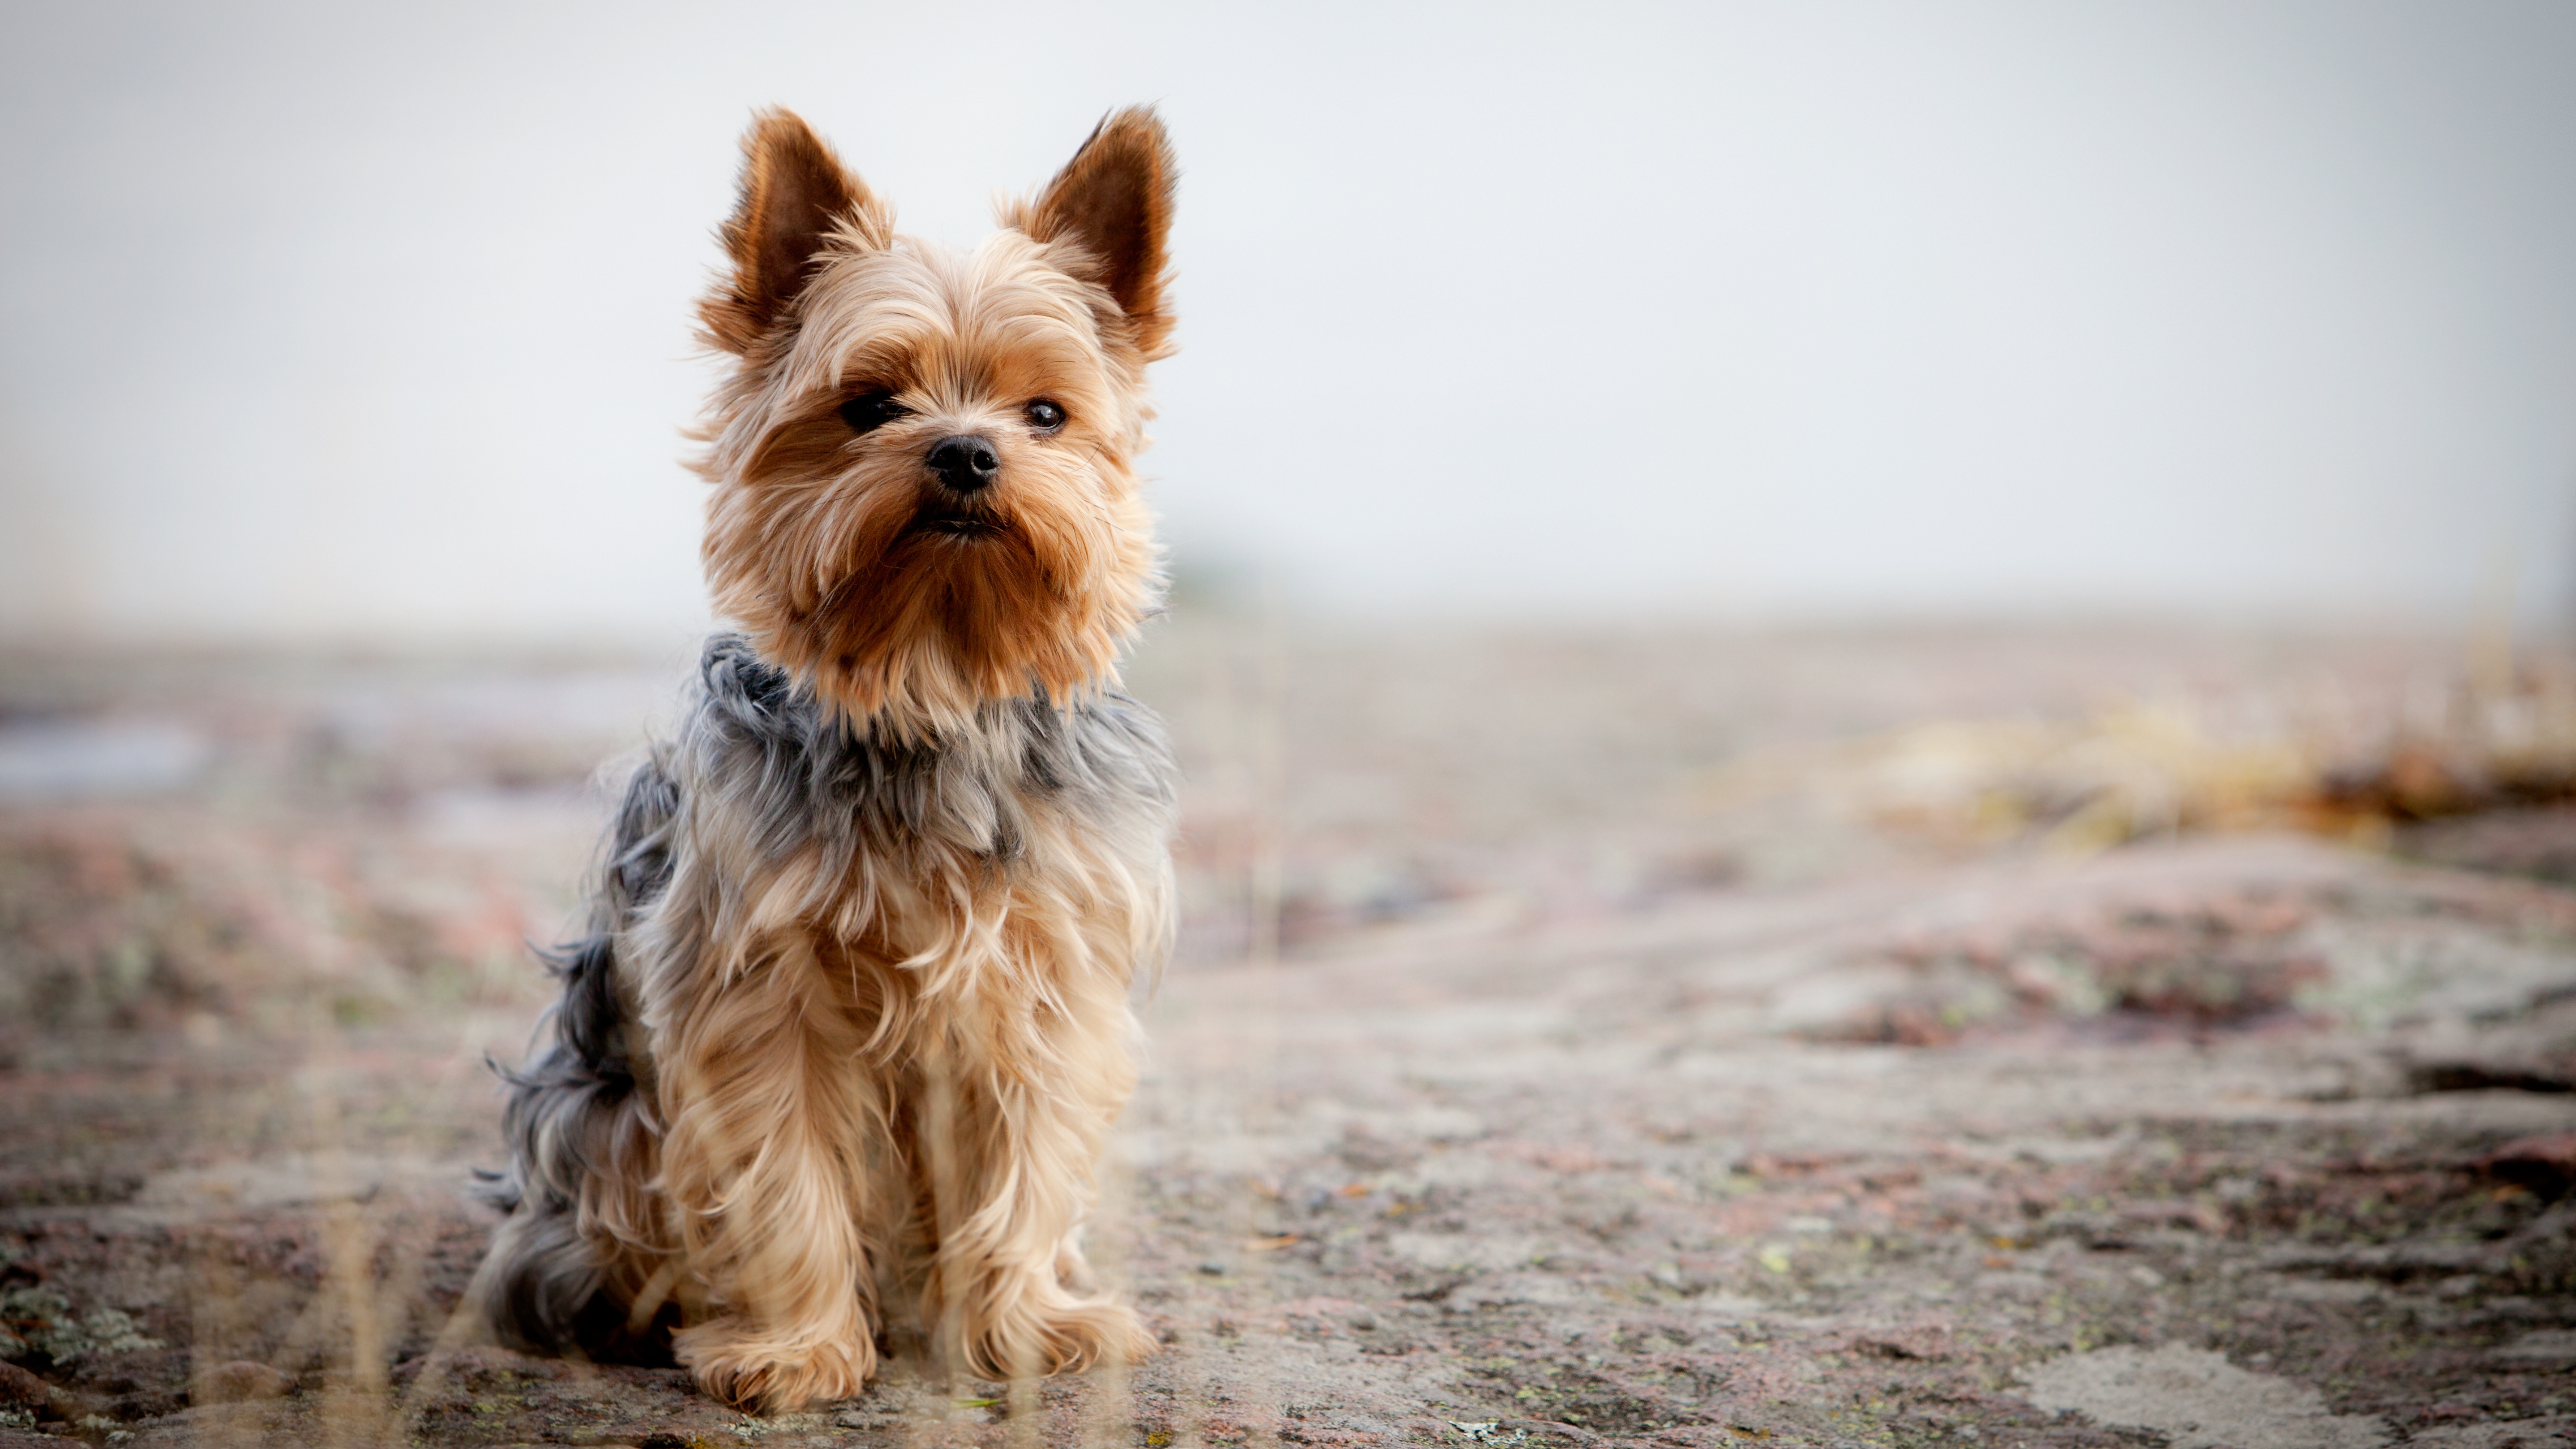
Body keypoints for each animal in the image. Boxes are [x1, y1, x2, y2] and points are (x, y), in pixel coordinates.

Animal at [469, 104, 1180, 1413]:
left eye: (1045, 415)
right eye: (869, 404)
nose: (965, 454)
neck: (932, 679)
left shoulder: (1041, 981)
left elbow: (1027, 1159)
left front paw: (1025, 1324)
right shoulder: (758, 990)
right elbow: (782, 1169)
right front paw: (796, 1348)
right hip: (603, 1124)